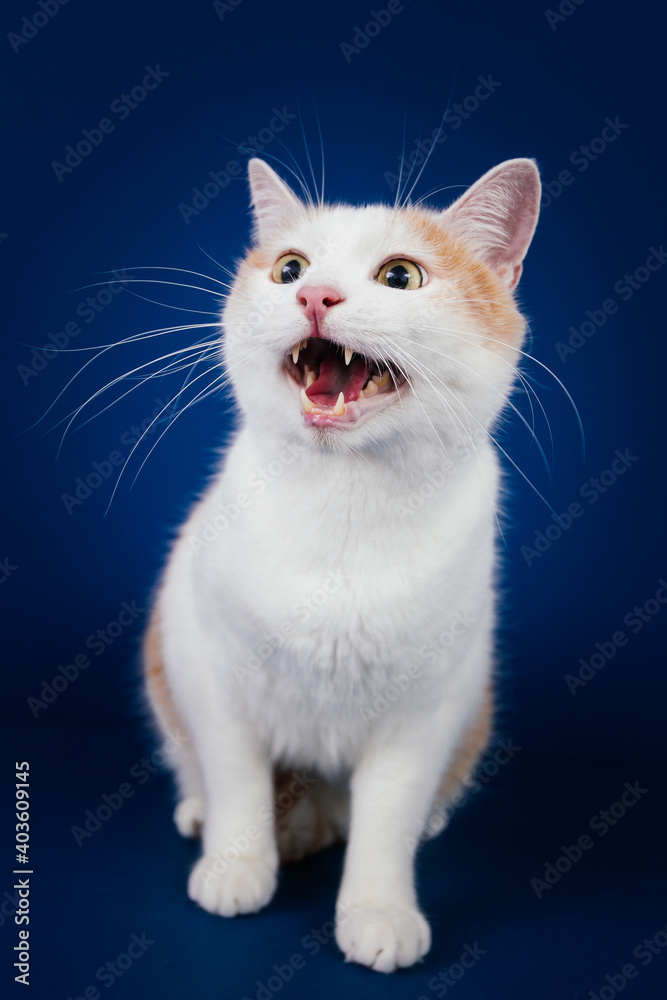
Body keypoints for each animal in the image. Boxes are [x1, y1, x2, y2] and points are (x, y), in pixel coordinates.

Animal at [142, 152, 544, 972]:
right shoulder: (211, 669)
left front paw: (378, 912)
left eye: (400, 276)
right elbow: (235, 778)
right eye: (289, 267)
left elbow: (387, 819)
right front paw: (235, 867)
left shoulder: (425, 713)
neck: (346, 510)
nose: (314, 294)